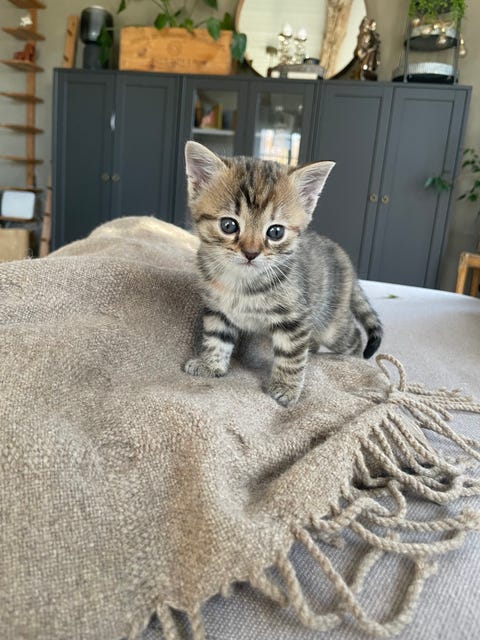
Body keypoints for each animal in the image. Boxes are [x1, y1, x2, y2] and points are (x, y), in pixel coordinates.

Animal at [183, 140, 383, 407]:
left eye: (275, 232)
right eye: (228, 225)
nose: (251, 253)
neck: (241, 282)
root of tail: (343, 256)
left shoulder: (295, 317)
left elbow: (291, 355)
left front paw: (286, 388)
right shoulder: (218, 309)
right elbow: (217, 337)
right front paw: (211, 364)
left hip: (331, 323)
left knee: (353, 337)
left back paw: (355, 361)